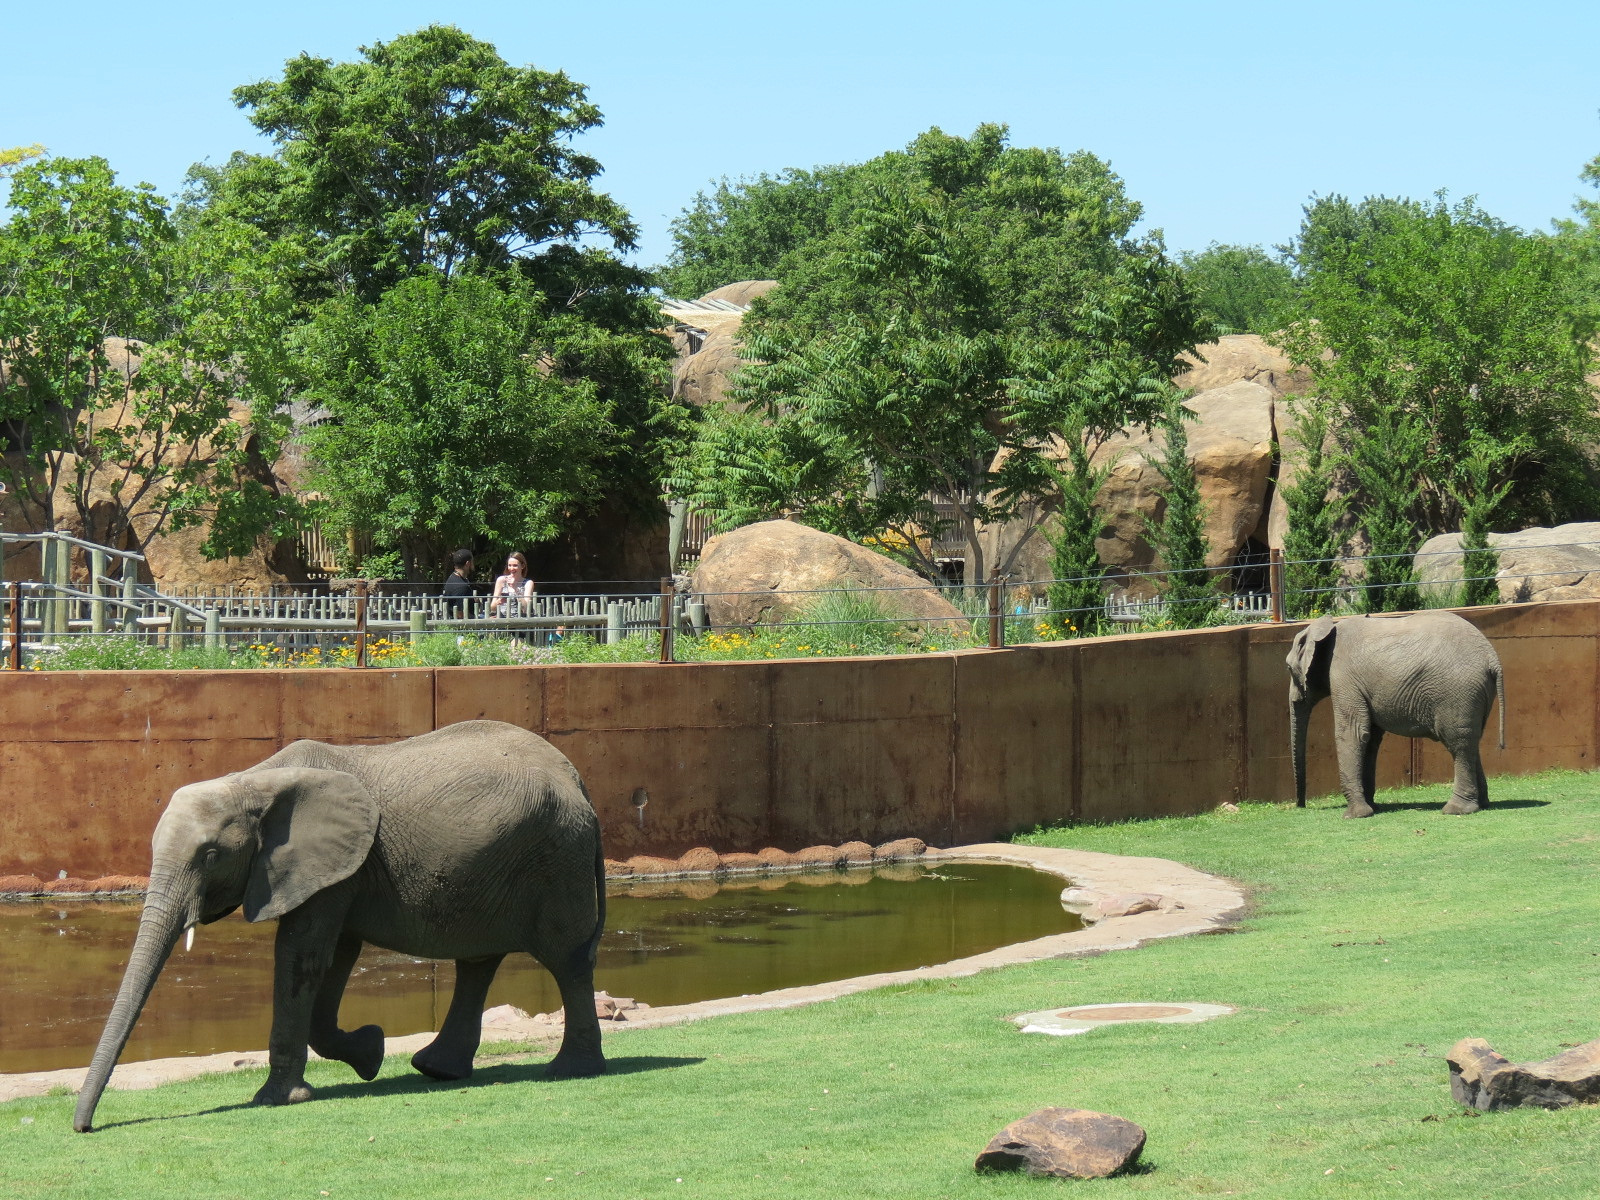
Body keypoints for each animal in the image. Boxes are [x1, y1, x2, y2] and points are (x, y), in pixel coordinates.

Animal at [73, 720, 606, 1133]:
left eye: (209, 856)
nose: (84, 1127)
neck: (255, 782)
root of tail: (576, 777)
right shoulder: (338, 868)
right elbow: (334, 956)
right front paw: (371, 1053)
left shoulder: (330, 863)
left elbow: (301, 954)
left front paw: (278, 1099)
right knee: (478, 960)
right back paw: (437, 1070)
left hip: (557, 856)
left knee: (567, 960)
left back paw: (570, 1071)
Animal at [1288, 611, 1505, 818]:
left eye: (1288, 668)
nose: (1301, 805)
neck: (1326, 627)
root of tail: (1492, 658)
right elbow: (1371, 738)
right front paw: (1372, 807)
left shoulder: (1343, 677)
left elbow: (1353, 733)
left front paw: (1355, 815)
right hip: (1476, 694)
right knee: (1471, 740)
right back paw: (1482, 804)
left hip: (1457, 692)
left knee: (1458, 744)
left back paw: (1456, 810)